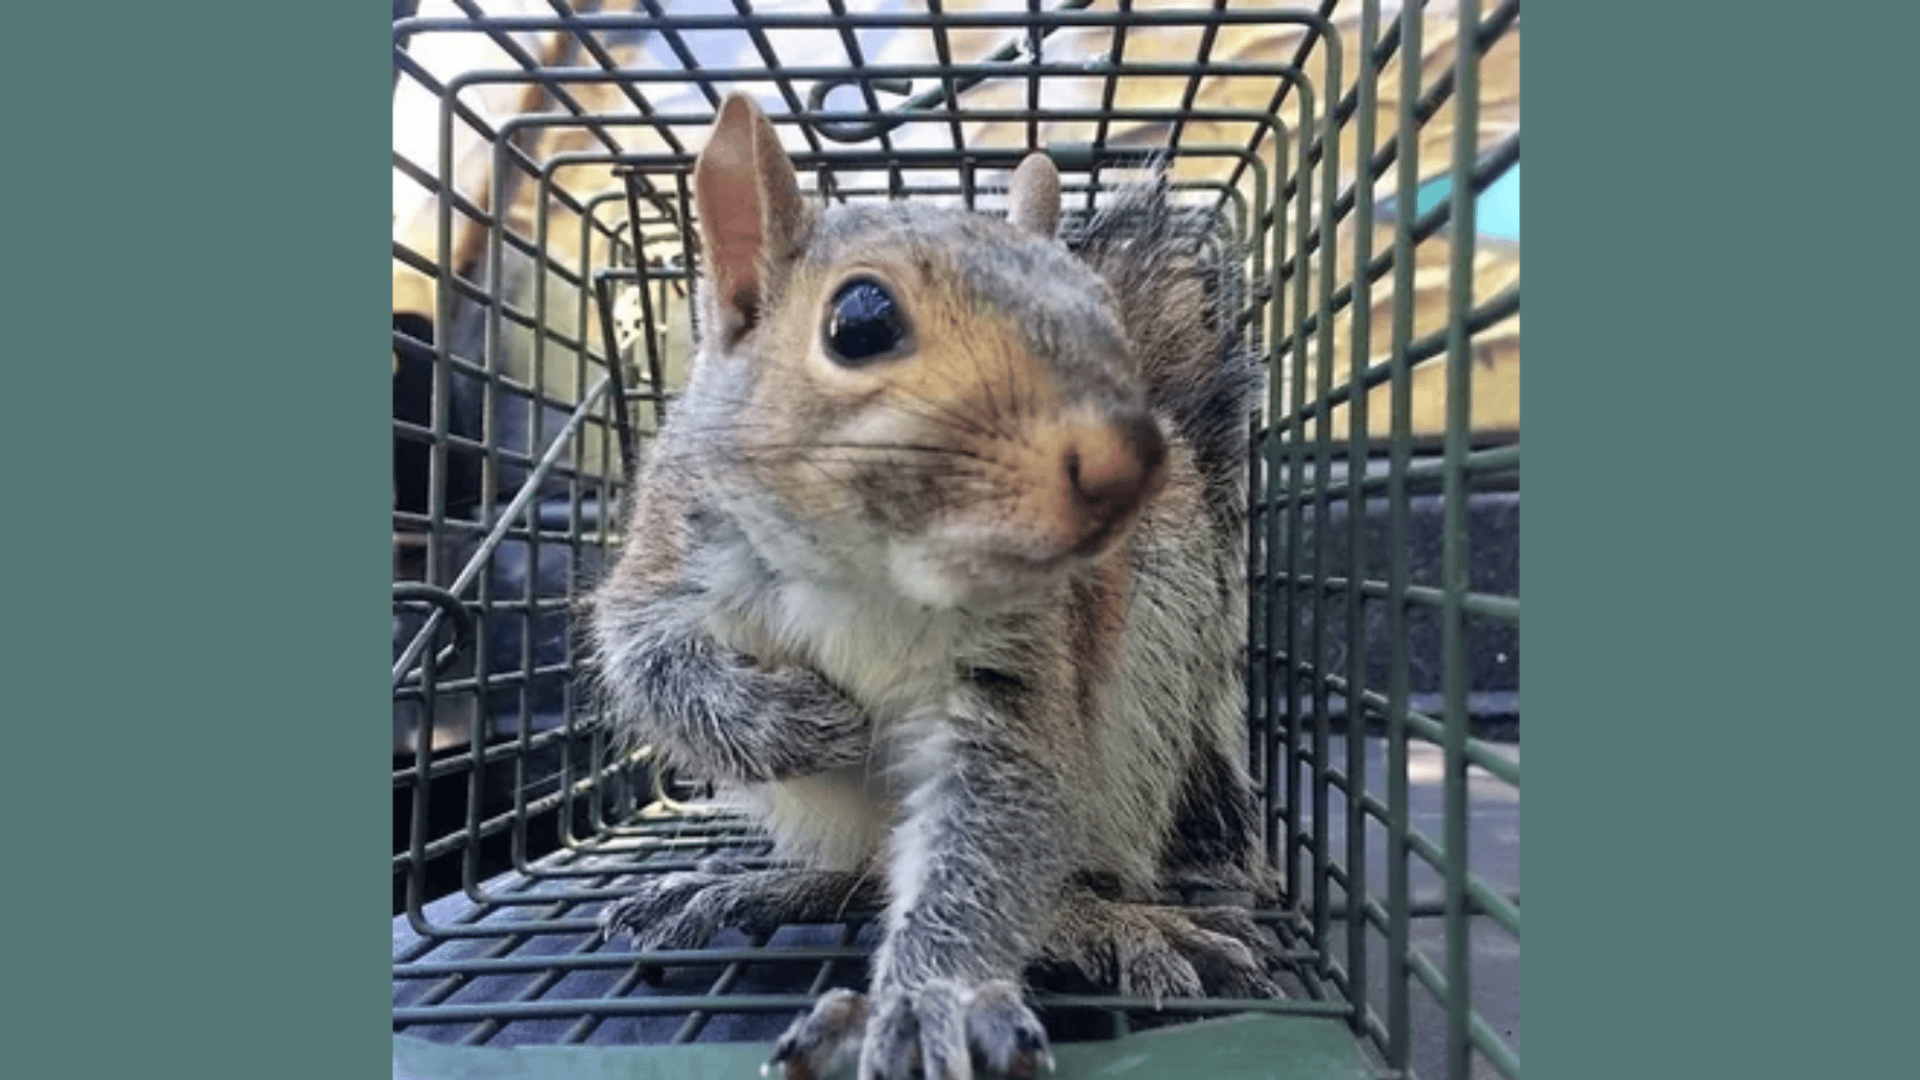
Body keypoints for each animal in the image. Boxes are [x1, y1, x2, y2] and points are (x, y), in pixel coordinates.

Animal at [588, 93, 1279, 1080]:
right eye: (861, 319)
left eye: (1100, 308)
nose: (1128, 457)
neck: (870, 563)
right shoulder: (666, 556)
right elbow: (647, 667)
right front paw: (795, 720)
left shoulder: (1015, 663)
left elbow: (986, 837)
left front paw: (928, 1003)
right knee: (870, 871)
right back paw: (757, 886)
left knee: (1042, 874)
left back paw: (1103, 921)